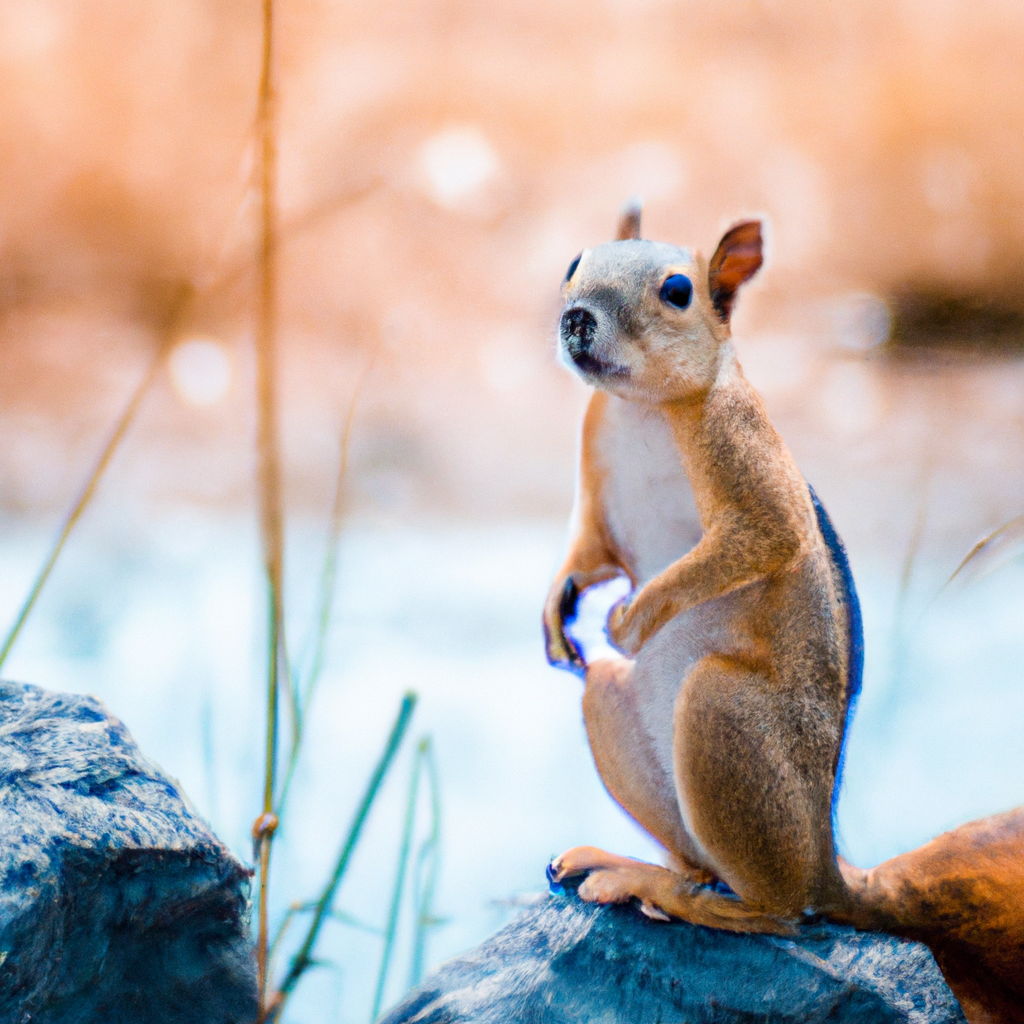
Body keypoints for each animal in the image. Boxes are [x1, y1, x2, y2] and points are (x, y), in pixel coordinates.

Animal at [544, 201, 1024, 1024]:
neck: (641, 408)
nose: (576, 319)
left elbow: (756, 540)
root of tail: (825, 864)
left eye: (678, 290)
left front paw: (632, 619)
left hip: (723, 715)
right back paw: (634, 867)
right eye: (576, 260)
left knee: (776, 910)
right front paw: (556, 608)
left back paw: (674, 893)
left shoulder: (746, 465)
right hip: (613, 704)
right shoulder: (594, 485)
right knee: (700, 856)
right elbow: (587, 552)